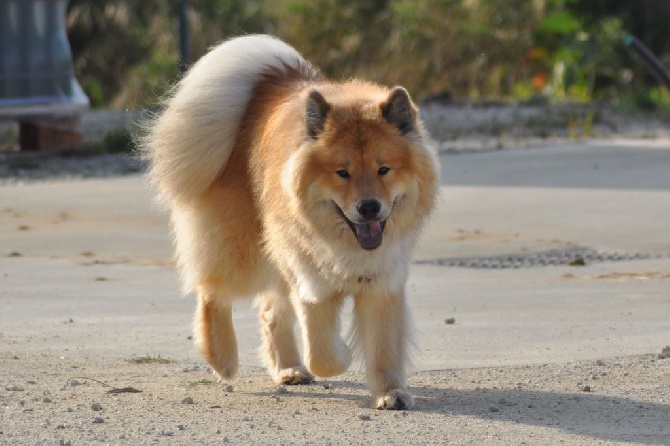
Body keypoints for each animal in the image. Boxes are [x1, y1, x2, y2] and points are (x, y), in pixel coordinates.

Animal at [140, 34, 440, 410]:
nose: (369, 207)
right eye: (342, 173)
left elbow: (384, 347)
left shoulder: (382, 285)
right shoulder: (312, 286)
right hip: (243, 250)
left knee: (270, 313)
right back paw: (223, 359)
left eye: (384, 169)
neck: (347, 246)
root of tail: (272, 81)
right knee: (213, 293)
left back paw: (289, 369)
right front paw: (344, 352)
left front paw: (391, 393)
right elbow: (324, 355)